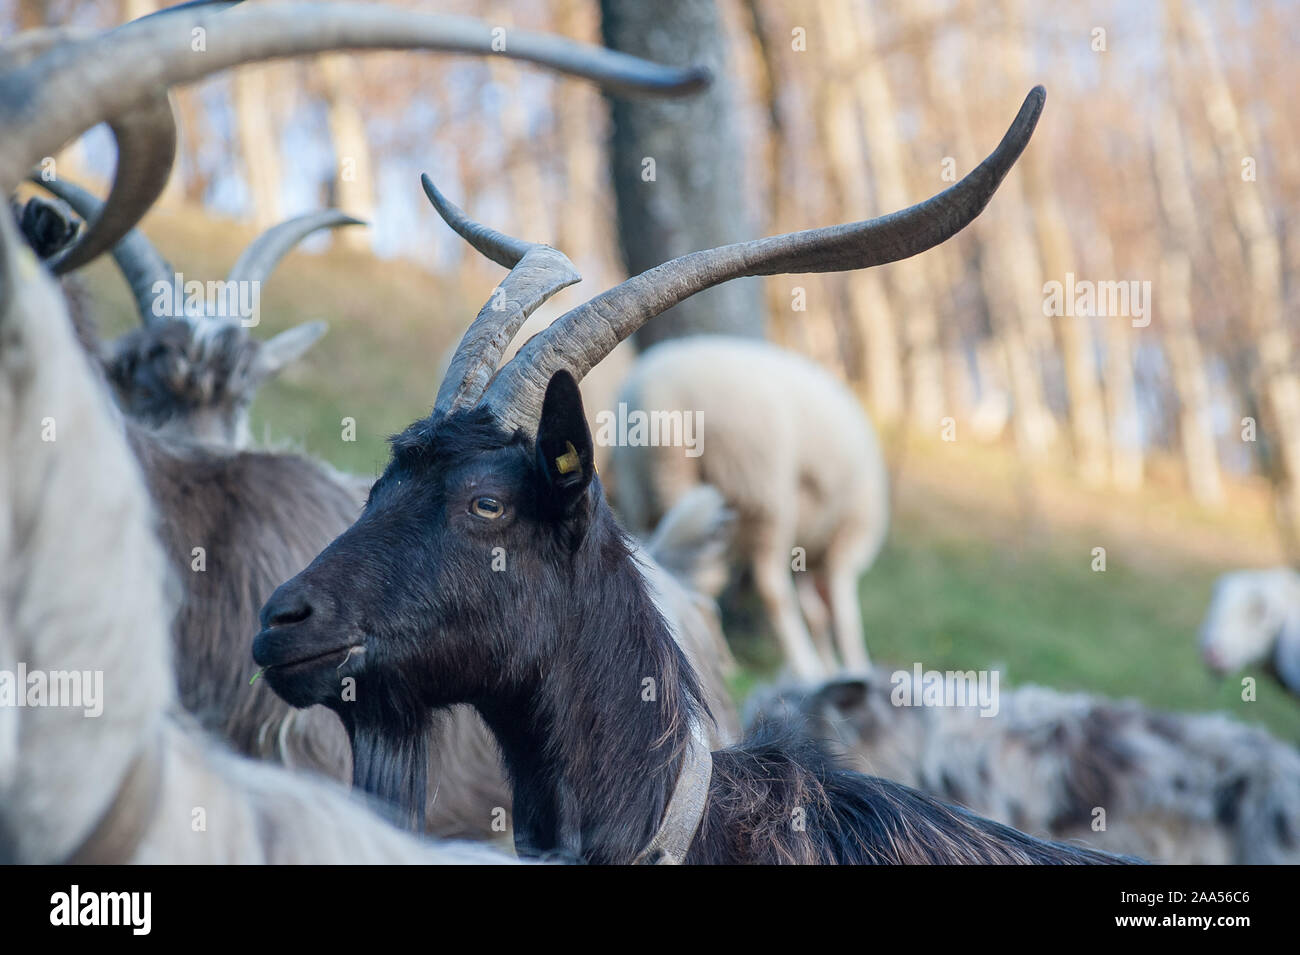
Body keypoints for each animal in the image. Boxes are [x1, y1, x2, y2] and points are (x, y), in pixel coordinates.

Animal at [603, 337, 889, 680]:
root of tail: (659, 397)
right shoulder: (846, 536)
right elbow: (844, 614)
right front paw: (853, 666)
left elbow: (818, 612)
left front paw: (833, 666)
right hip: (762, 490)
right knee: (770, 589)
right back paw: (803, 664)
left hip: (652, 488)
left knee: (689, 572)